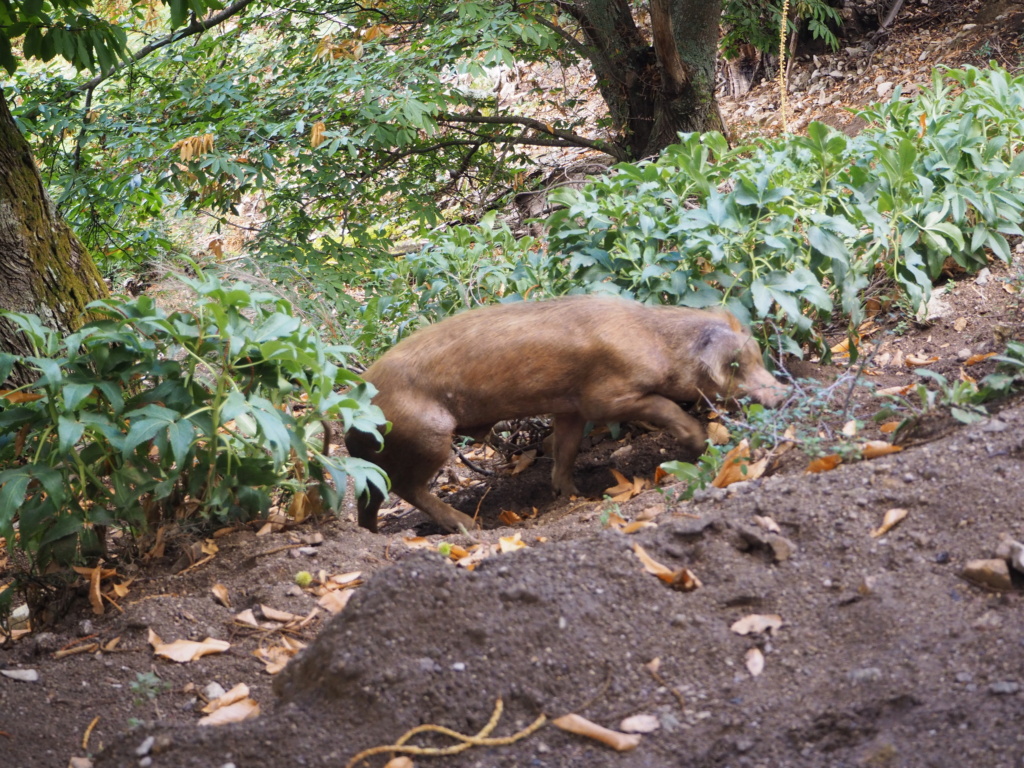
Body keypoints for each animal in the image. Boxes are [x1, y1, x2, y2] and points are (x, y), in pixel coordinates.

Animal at [344, 296, 782, 536]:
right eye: (735, 366)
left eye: (758, 356)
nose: (781, 394)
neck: (658, 345)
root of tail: (351, 415)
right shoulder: (607, 397)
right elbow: (663, 406)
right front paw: (702, 442)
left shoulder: (569, 406)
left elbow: (566, 448)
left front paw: (573, 495)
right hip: (427, 434)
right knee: (406, 486)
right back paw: (469, 526)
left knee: (374, 493)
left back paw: (372, 535)